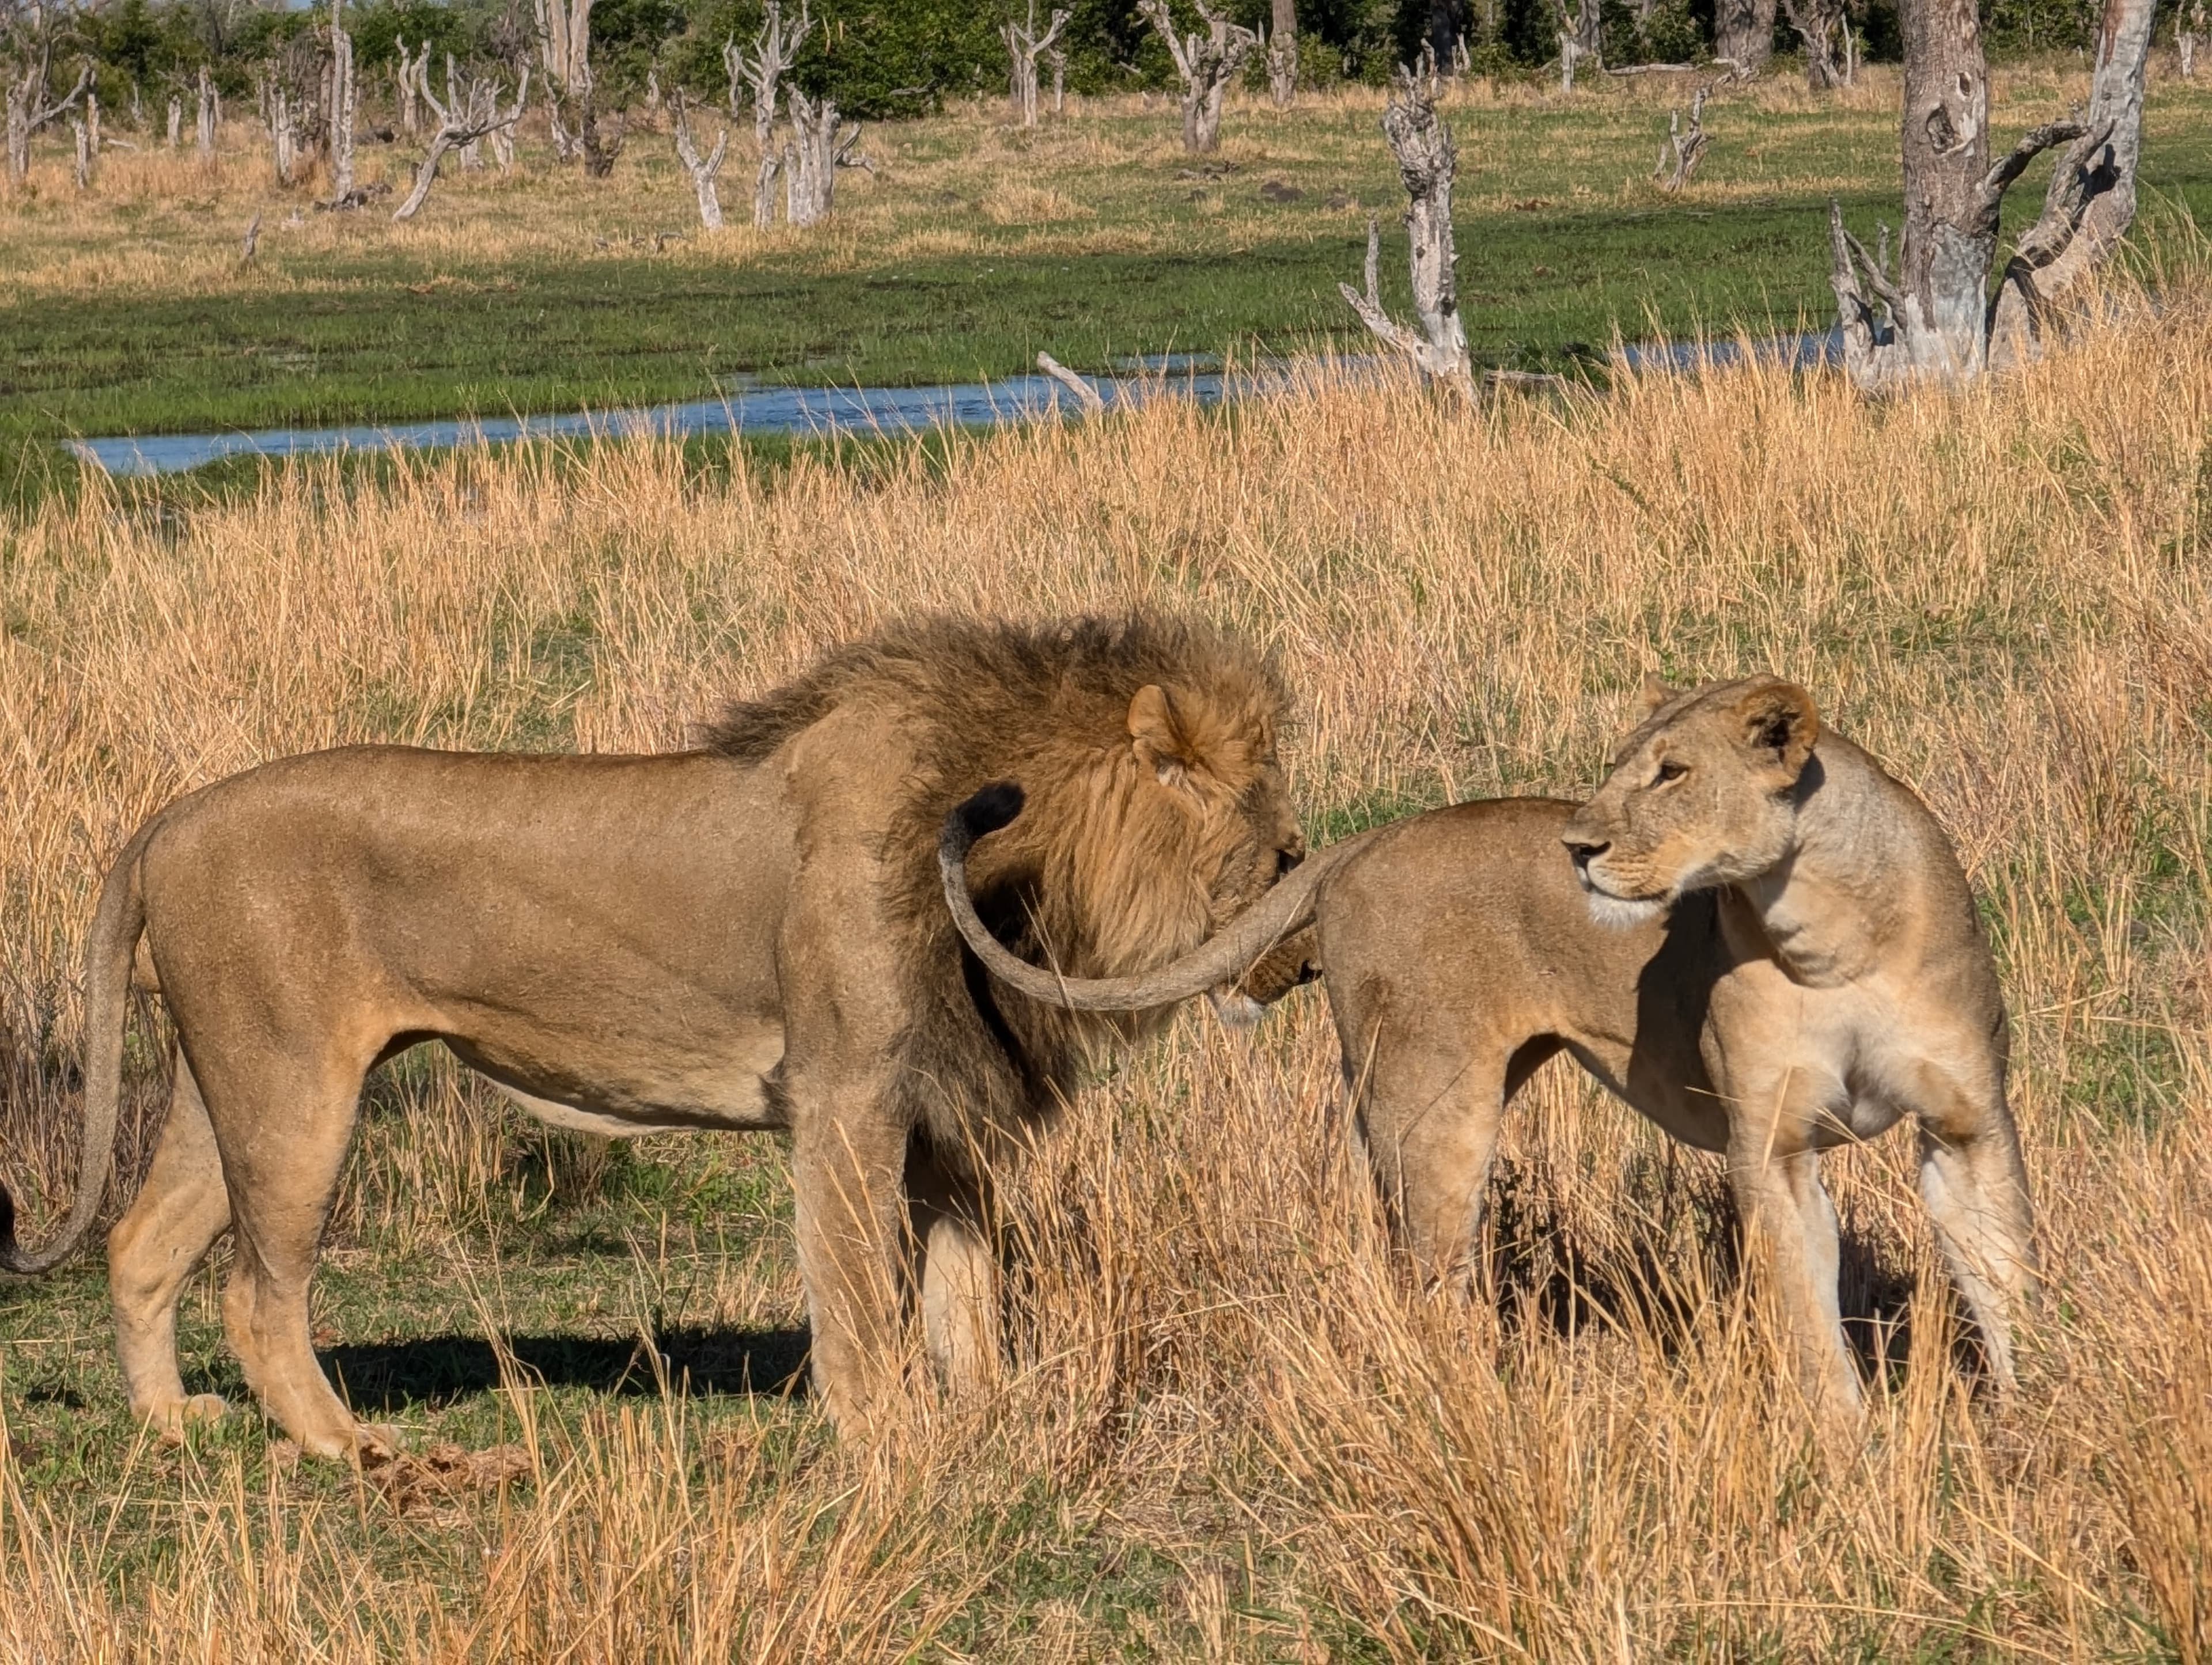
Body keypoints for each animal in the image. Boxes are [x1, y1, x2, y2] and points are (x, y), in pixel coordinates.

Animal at [0, 616, 1308, 1459]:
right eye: (1283, 850)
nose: (1300, 960)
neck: (1019, 868)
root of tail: (167, 821)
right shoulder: (847, 1095)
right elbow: (856, 1283)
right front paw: (885, 1431)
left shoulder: (948, 1105)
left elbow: (963, 1286)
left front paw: (986, 1413)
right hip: (293, 1093)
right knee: (259, 1294)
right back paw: (344, 1445)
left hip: (222, 1081)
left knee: (140, 1245)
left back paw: (175, 1423)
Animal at [939, 675, 2037, 1422]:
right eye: (1622, 766)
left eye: (1673, 773)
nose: (1578, 849)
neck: (1832, 929)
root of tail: (1365, 842)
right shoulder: (1770, 1147)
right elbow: (1809, 1315)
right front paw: (1848, 1450)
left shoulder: (1969, 1126)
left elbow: (2007, 1275)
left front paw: (2041, 1418)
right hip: (1433, 1107)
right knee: (1429, 1282)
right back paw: (1469, 1410)